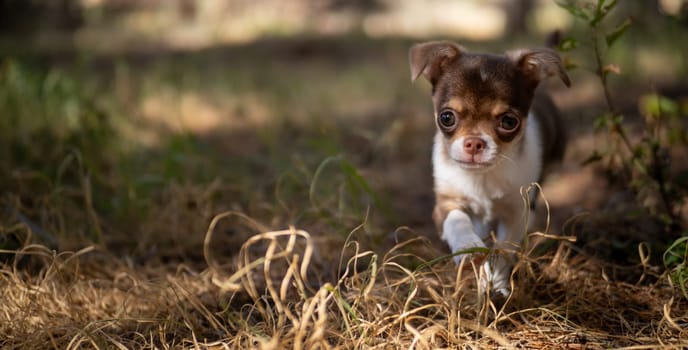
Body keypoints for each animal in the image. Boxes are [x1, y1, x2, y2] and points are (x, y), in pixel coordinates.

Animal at [408, 41, 568, 298]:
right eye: (446, 117)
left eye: (509, 122)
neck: (481, 178)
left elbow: (502, 250)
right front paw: (468, 248)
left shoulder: (518, 213)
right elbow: (457, 220)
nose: (474, 142)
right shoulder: (445, 204)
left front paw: (495, 284)